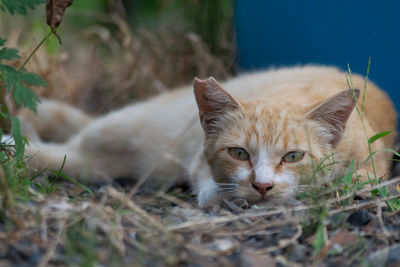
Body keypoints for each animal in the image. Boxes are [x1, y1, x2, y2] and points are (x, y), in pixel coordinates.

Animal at [19, 66, 396, 208]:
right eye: (239, 153)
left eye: (293, 157)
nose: (262, 186)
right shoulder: (199, 163)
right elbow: (209, 185)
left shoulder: (370, 166)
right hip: (124, 127)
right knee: (67, 144)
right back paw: (15, 142)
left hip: (107, 159)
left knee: (71, 157)